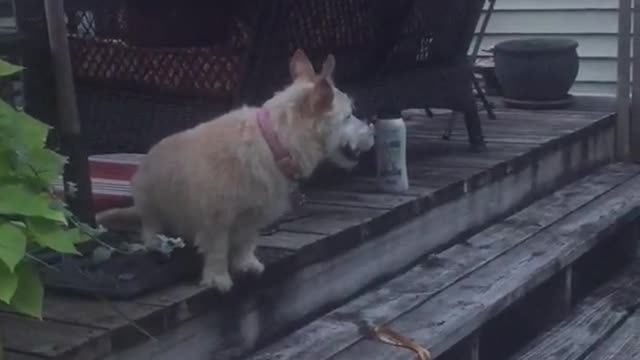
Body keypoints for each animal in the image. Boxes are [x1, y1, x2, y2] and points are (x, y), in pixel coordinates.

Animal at [95, 50, 376, 292]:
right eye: (348, 116)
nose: (372, 130)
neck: (275, 142)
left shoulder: (253, 216)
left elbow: (245, 241)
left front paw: (246, 264)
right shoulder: (216, 218)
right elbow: (218, 249)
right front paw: (218, 278)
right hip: (150, 201)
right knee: (150, 227)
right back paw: (157, 242)